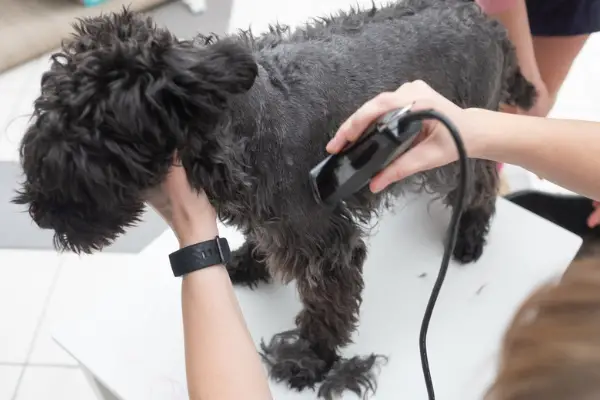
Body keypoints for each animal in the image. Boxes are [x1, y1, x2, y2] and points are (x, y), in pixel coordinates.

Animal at [15, 0, 536, 396]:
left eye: (95, 135)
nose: (40, 214)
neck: (237, 126)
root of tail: (487, 23)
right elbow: (264, 242)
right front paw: (248, 261)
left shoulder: (327, 243)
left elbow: (326, 305)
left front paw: (310, 359)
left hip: (453, 144)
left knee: (483, 180)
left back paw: (468, 234)